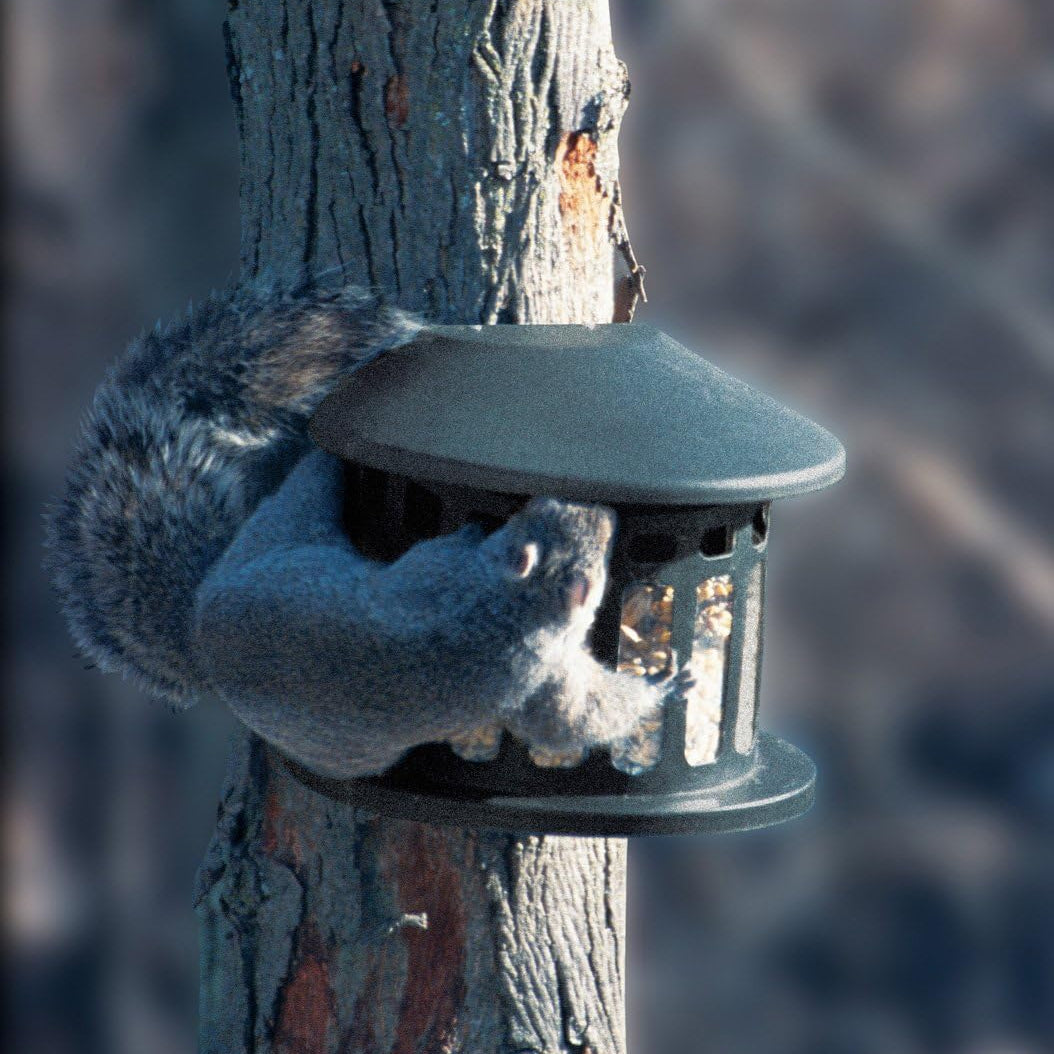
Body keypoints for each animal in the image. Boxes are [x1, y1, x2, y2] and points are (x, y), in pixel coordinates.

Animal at [45, 277, 679, 778]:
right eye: (593, 557)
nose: (600, 513)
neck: (504, 611)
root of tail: (198, 634)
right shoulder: (530, 669)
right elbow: (572, 720)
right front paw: (665, 688)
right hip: (284, 532)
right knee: (306, 486)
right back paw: (312, 450)